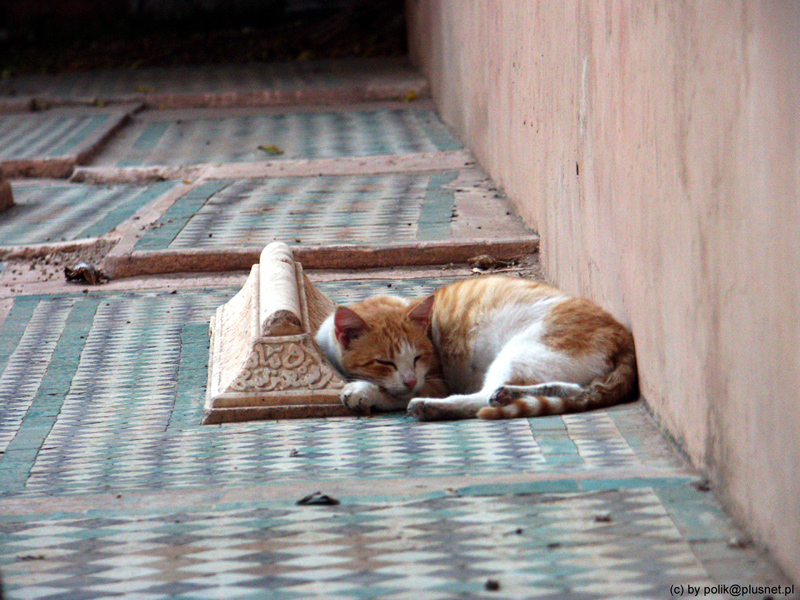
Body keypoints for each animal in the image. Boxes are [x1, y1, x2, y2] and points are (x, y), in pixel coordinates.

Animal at [314, 274, 636, 420]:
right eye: (385, 362)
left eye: (418, 358)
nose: (409, 380)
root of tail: (623, 335)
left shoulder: (435, 380)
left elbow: (392, 393)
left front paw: (364, 392)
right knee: (575, 390)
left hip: (524, 351)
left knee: (483, 398)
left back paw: (432, 406)